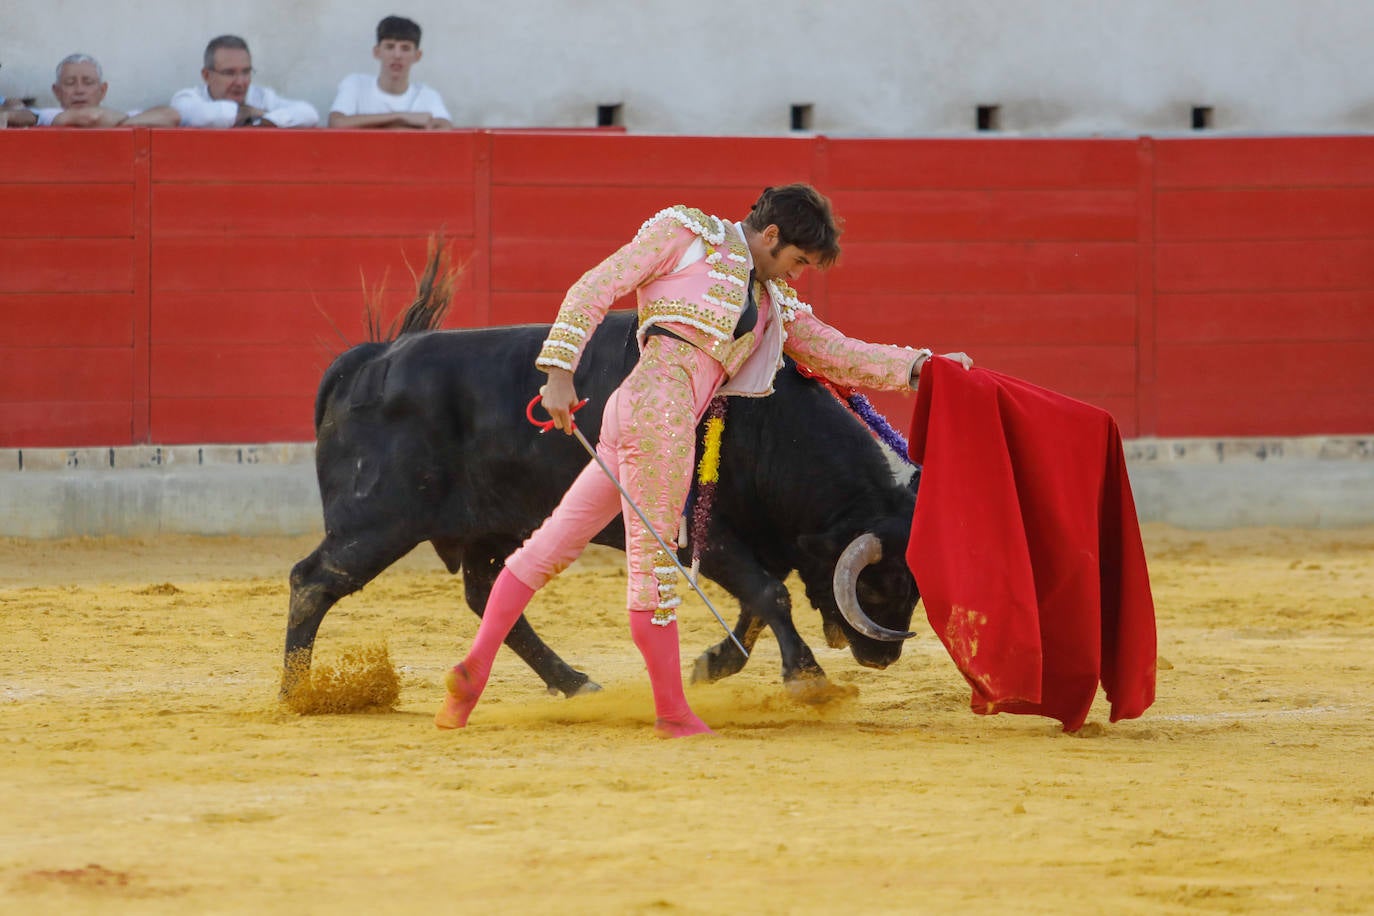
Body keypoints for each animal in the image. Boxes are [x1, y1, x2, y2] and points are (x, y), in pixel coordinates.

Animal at [281, 310, 923, 703]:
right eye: (882, 583)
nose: (884, 656)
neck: (768, 424)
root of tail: (370, 358)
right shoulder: (706, 538)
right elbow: (769, 595)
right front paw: (809, 679)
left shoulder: (755, 542)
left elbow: (757, 606)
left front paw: (713, 664)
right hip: (377, 522)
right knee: (313, 580)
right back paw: (296, 694)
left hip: (488, 529)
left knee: (490, 595)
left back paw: (572, 683)